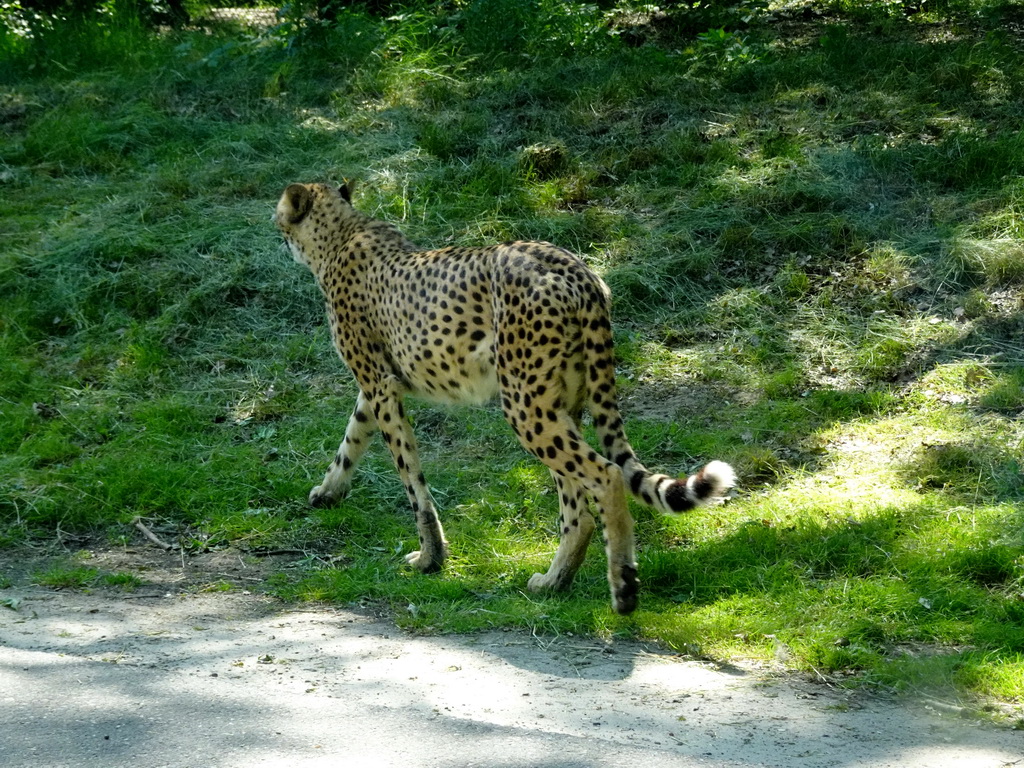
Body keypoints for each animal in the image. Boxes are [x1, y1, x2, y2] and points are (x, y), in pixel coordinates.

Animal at [274, 183, 737, 618]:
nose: (275, 228)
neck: (341, 233)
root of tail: (576, 267)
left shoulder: (378, 382)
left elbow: (409, 475)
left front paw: (429, 557)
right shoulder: (379, 385)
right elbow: (353, 436)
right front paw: (328, 491)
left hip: (524, 404)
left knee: (605, 476)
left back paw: (623, 587)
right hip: (562, 402)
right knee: (578, 506)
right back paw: (554, 581)